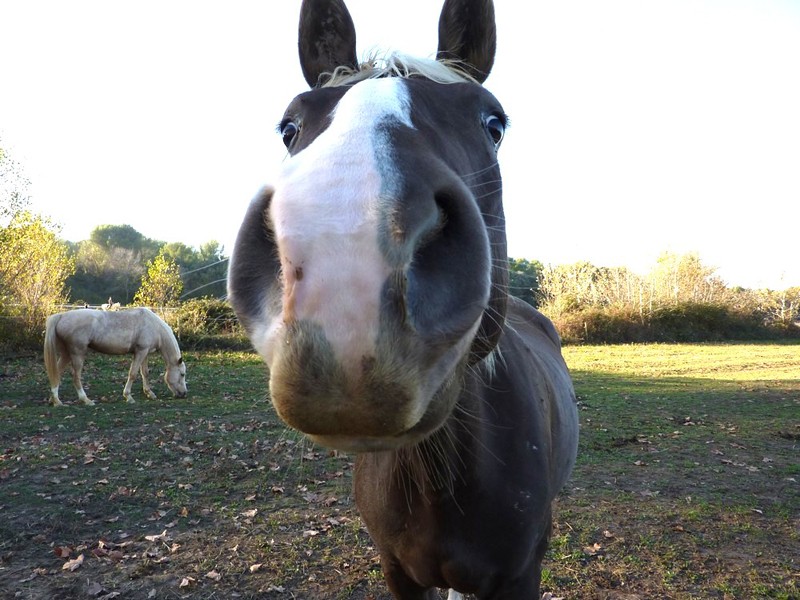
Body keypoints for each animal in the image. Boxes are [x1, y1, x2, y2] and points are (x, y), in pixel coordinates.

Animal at [43, 308, 187, 406]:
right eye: (182, 374)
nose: (184, 394)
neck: (153, 325)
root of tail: (61, 316)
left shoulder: (144, 352)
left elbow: (145, 373)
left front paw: (149, 393)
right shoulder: (140, 352)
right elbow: (133, 374)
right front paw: (128, 396)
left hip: (66, 354)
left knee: (56, 372)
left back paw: (55, 400)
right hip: (77, 353)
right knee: (75, 376)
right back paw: (86, 400)